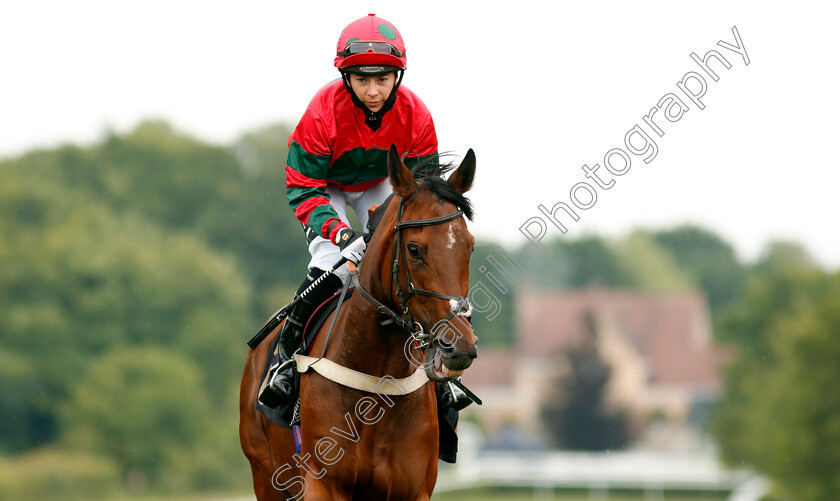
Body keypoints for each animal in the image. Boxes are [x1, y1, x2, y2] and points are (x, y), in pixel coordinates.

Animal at [240, 146, 482, 500]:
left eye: (469, 245)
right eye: (413, 249)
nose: (459, 346)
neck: (378, 378)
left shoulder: (414, 489)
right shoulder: (322, 483)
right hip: (265, 475)